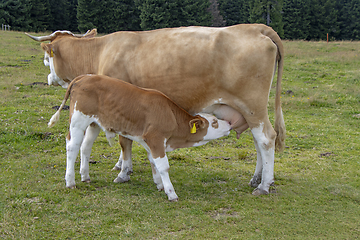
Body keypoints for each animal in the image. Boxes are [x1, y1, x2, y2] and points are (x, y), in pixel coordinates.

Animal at [48, 74, 231, 201]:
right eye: (214, 122)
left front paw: (159, 184)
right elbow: (163, 166)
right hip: (78, 120)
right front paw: (171, 192)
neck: (170, 115)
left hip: (94, 123)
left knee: (85, 146)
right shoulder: (155, 138)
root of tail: (84, 76)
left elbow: (154, 163)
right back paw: (70, 181)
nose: (229, 123)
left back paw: (85, 176)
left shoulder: (149, 142)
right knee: (72, 146)